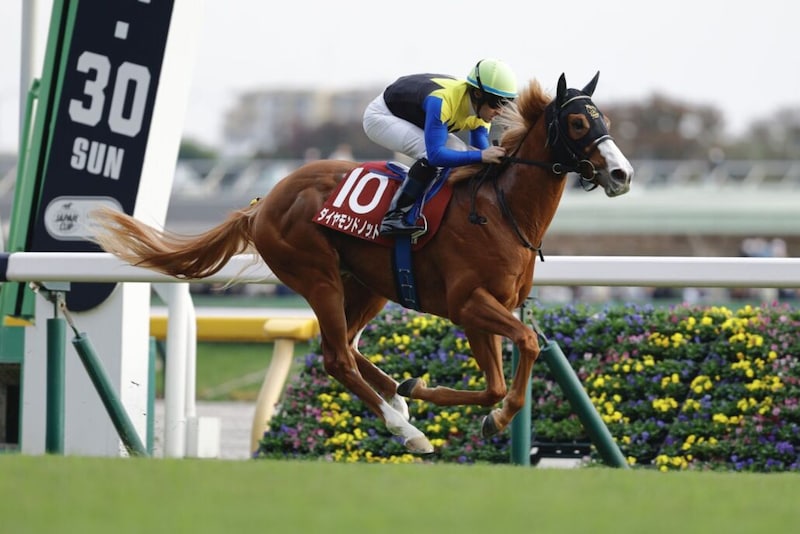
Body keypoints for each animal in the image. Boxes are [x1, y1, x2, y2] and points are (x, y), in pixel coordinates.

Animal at [91, 72, 633, 454]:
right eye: (579, 123)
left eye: (605, 120)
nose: (622, 173)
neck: (500, 210)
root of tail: (264, 202)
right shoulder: (468, 304)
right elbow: (523, 350)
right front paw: (475, 411)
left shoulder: (486, 309)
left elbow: (497, 382)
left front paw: (440, 395)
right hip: (317, 277)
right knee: (336, 356)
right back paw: (404, 428)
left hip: (368, 284)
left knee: (348, 347)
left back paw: (398, 396)